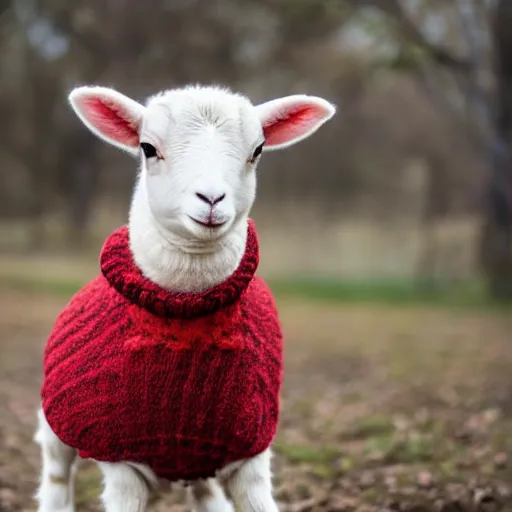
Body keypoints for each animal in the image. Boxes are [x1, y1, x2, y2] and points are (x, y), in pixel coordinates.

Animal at [33, 82, 336, 510]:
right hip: (55, 421)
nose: (211, 199)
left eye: (258, 150)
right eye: (147, 148)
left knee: (207, 495)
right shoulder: (122, 463)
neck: (186, 304)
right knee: (57, 474)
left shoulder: (251, 452)